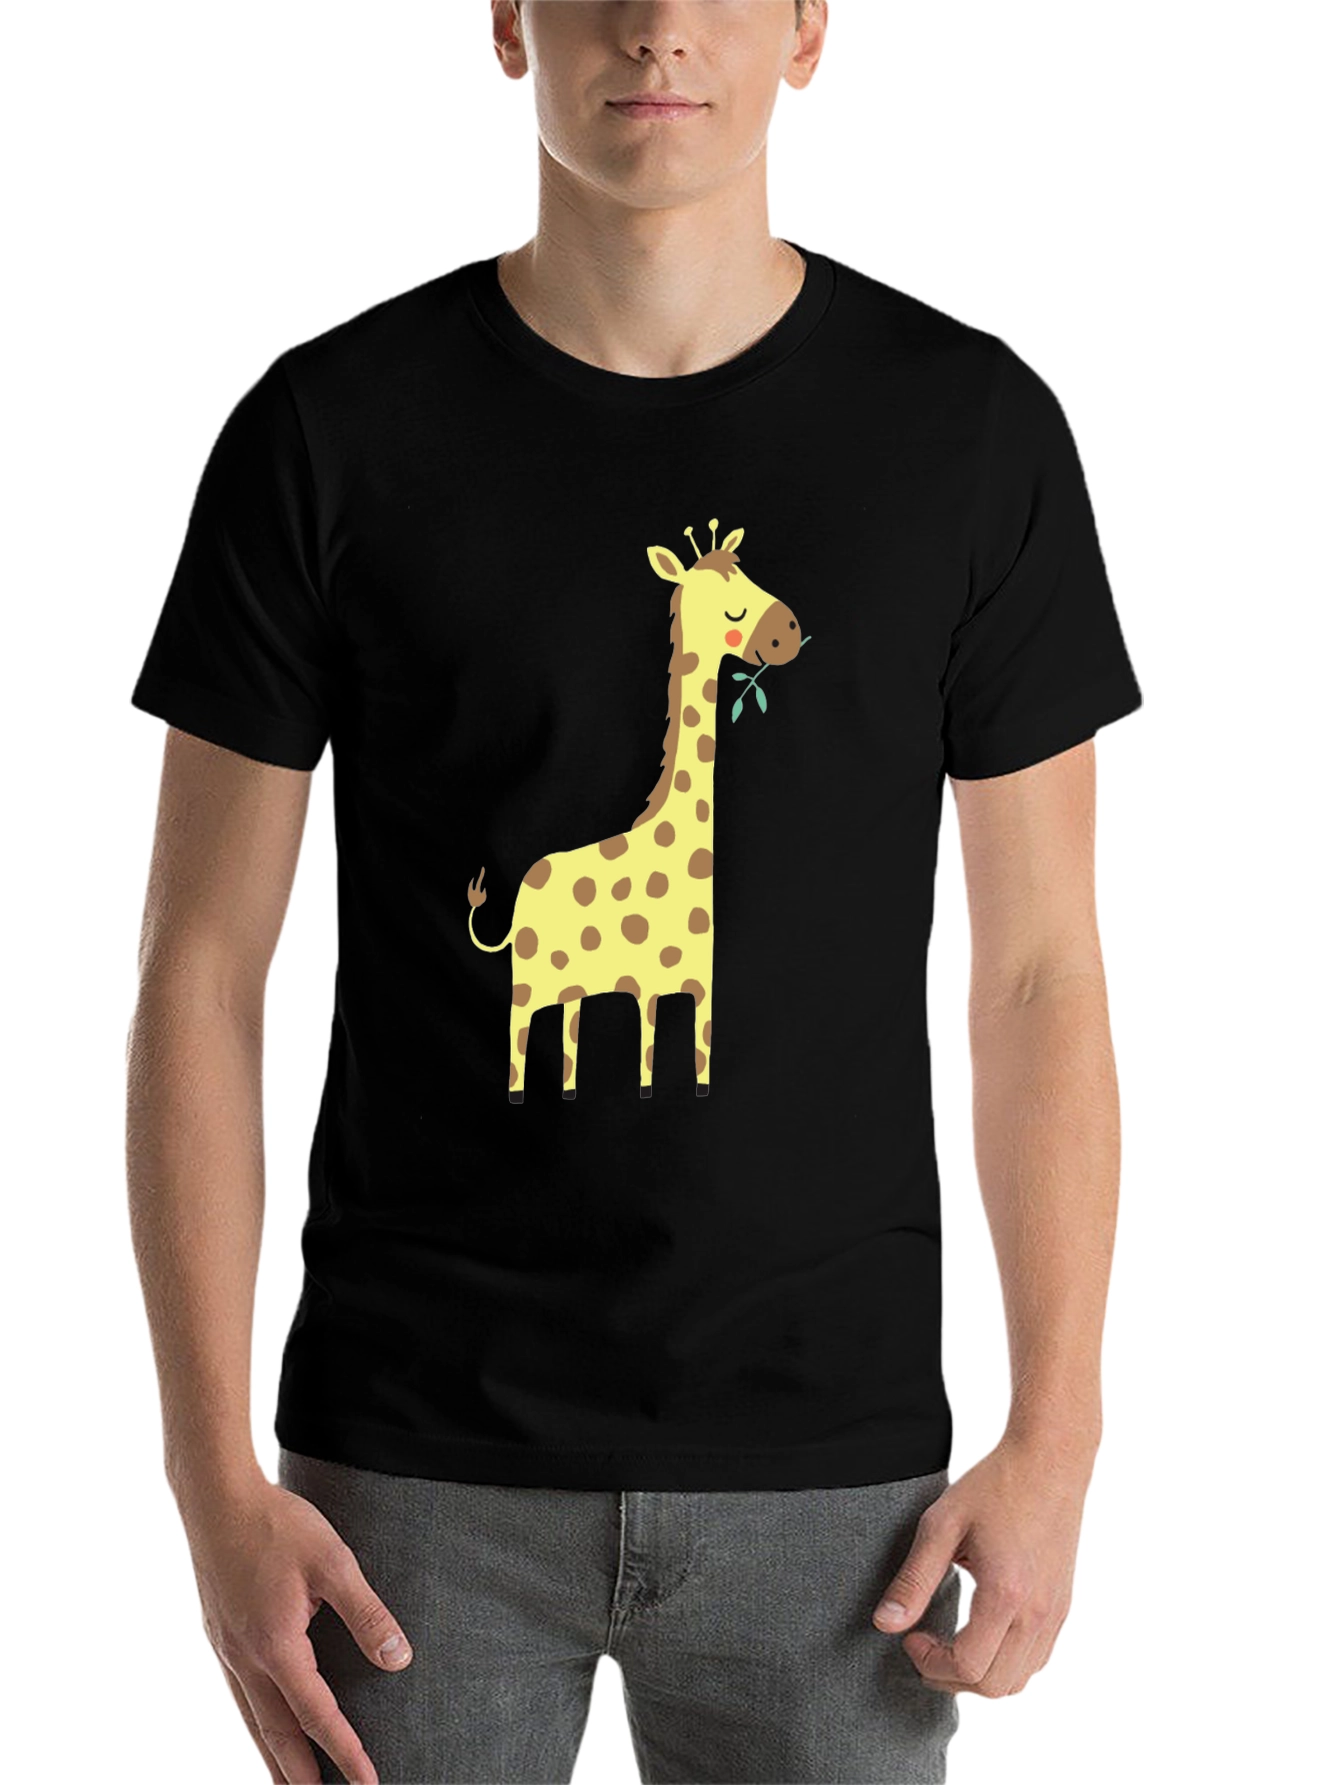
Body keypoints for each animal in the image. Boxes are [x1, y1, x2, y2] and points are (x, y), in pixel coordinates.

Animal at [467, 519, 802, 1101]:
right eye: (733, 610)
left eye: (748, 577)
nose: (789, 629)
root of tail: (520, 899)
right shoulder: (647, 989)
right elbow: (645, 1066)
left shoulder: (700, 988)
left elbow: (701, 1060)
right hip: (528, 989)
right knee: (516, 1044)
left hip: (570, 990)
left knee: (568, 1045)